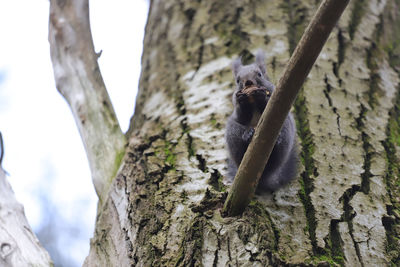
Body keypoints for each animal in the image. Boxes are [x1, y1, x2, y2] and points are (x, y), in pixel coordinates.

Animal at [225, 50, 296, 193]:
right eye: (237, 80)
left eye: (259, 74)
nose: (248, 82)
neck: (253, 103)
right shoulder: (237, 113)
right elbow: (242, 116)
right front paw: (242, 100)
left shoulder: (275, 97)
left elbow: (268, 104)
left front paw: (261, 96)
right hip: (232, 133)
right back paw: (247, 135)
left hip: (285, 127)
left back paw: (276, 141)